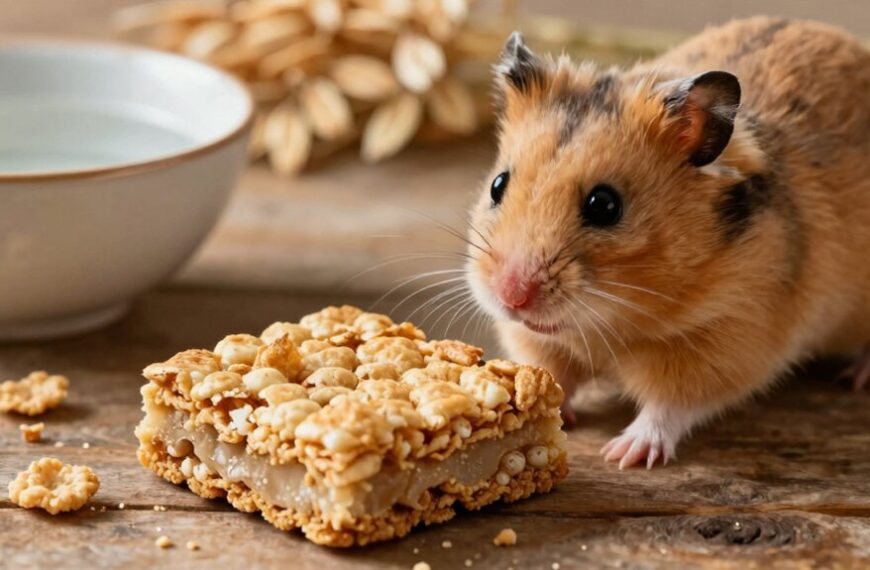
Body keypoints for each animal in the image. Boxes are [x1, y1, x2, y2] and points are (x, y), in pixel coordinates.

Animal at [465, 17, 870, 468]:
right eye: (498, 185)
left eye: (604, 205)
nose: (511, 296)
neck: (609, 325)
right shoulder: (539, 343)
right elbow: (554, 374)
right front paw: (554, 414)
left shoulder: (727, 338)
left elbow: (669, 405)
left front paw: (623, 455)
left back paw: (857, 378)